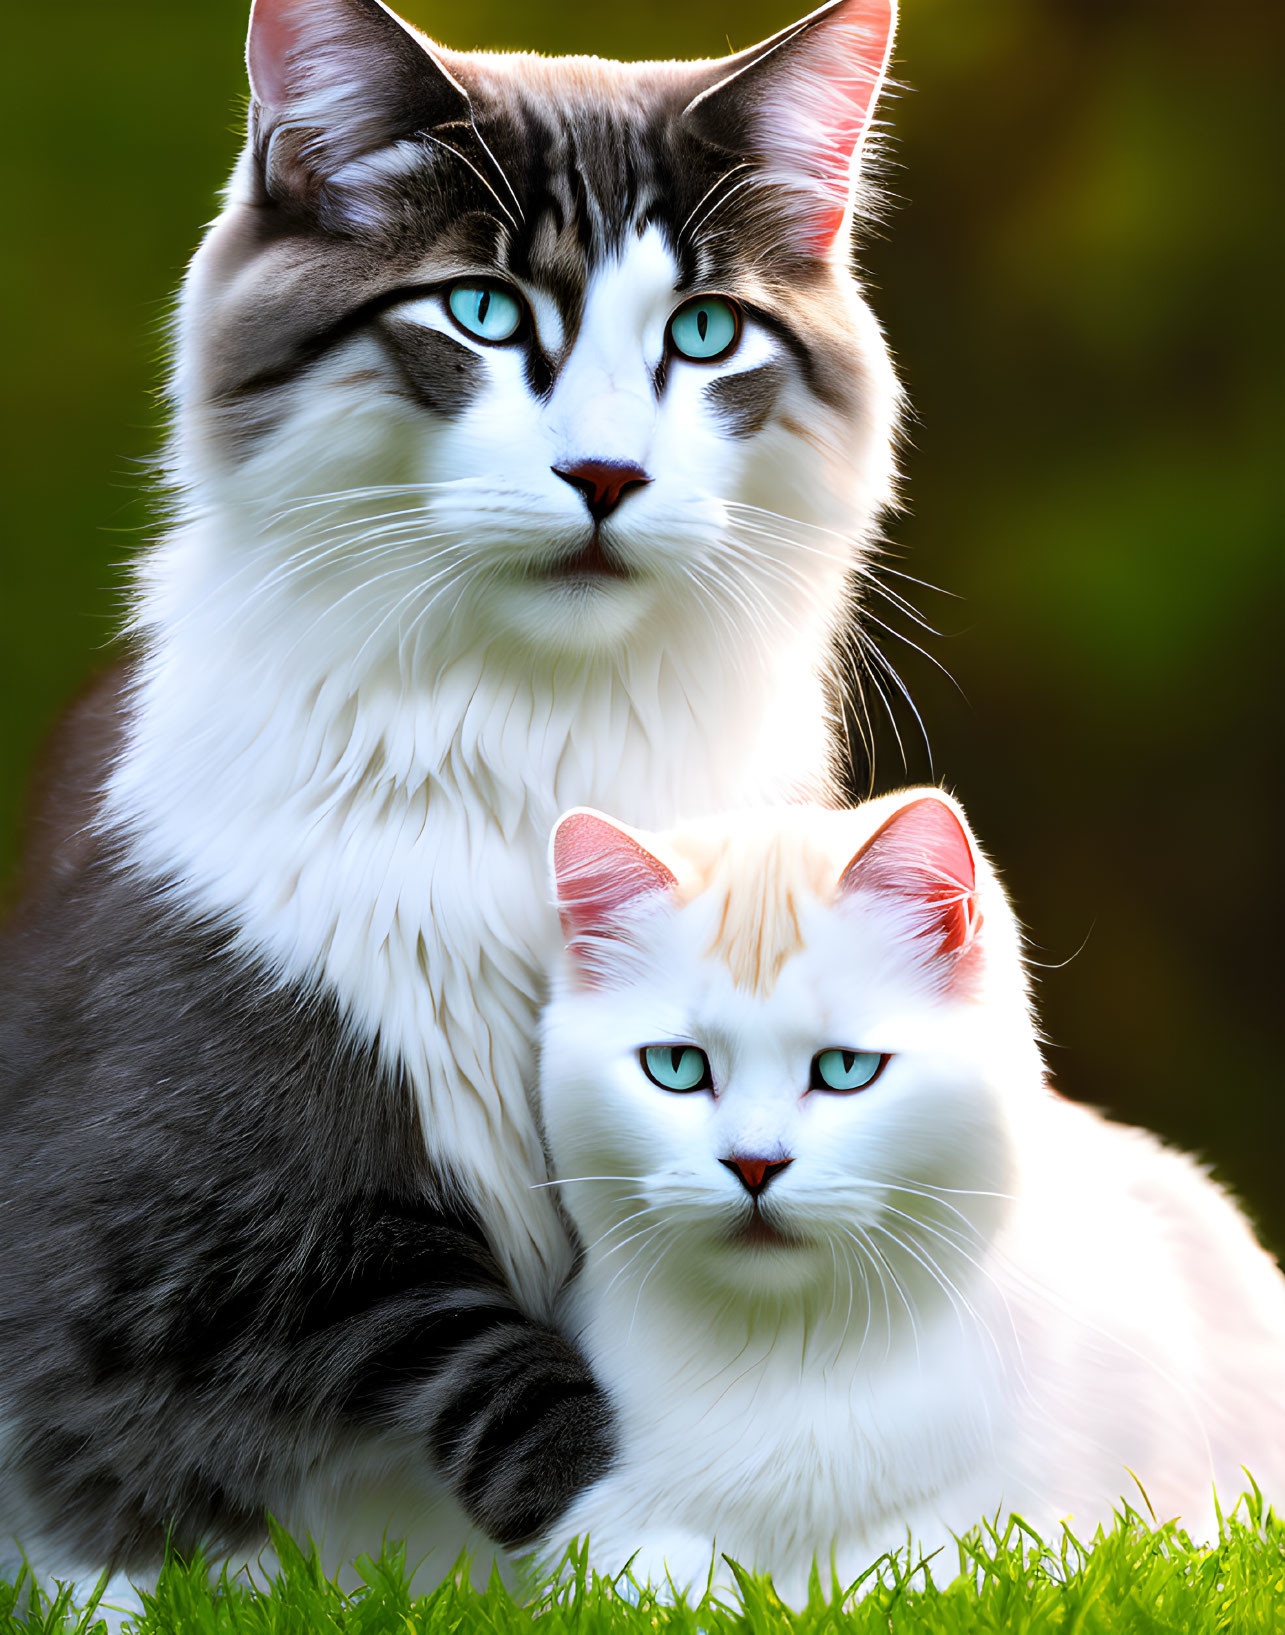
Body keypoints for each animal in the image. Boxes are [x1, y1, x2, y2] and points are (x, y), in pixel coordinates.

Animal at [2, 0, 902, 1608]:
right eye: (480, 313)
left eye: (704, 333)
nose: (604, 472)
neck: (535, 729)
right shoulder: (164, 1230)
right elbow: (464, 1336)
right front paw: (659, 1556)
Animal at [529, 797, 1281, 1602]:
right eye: (675, 1067)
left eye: (845, 1069)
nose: (754, 1165)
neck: (790, 1351)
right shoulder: (587, 1532)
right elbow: (652, 1574)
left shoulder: (1043, 1538)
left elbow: (906, 1578)